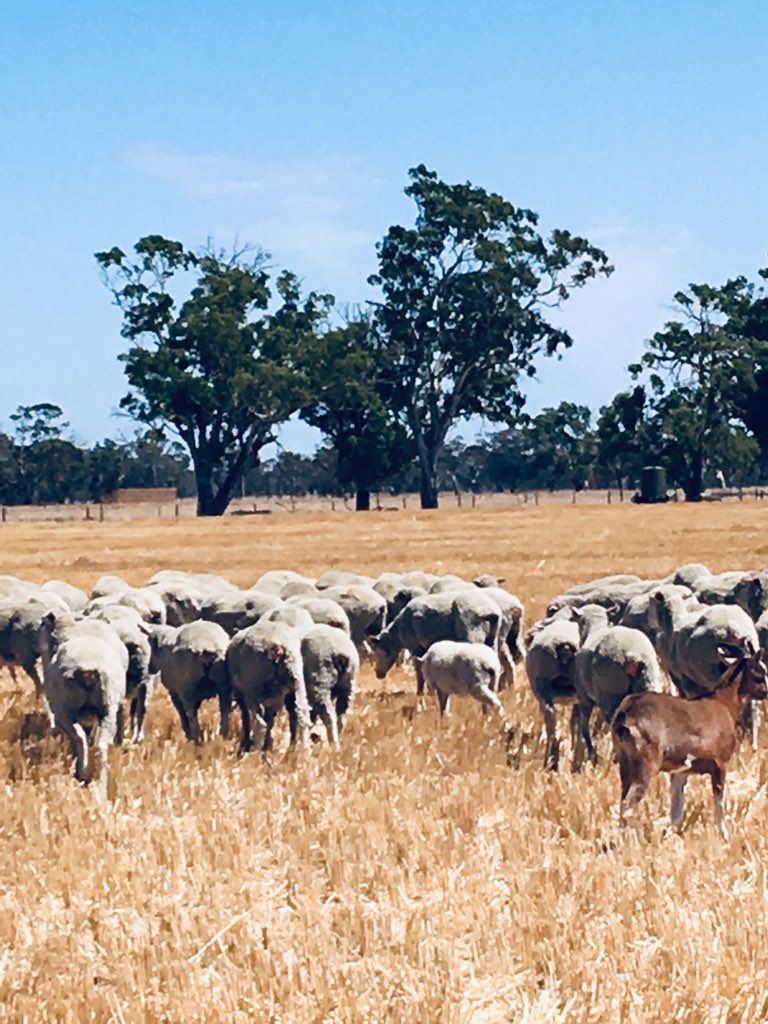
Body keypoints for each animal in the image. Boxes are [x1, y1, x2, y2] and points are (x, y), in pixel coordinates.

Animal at [227, 614, 311, 753]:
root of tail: (280, 647)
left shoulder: (243, 694)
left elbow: (247, 719)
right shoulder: (275, 698)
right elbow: (270, 719)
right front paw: (267, 747)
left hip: (252, 689)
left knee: (260, 723)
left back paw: (254, 753)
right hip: (297, 681)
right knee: (302, 714)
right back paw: (301, 751)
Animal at [610, 647, 765, 839]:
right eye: (761, 673)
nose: (766, 692)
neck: (724, 704)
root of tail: (625, 713)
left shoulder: (681, 771)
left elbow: (677, 812)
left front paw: (666, 835)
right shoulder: (719, 764)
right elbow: (719, 804)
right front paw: (725, 837)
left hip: (625, 764)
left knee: (623, 801)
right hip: (645, 763)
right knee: (628, 804)